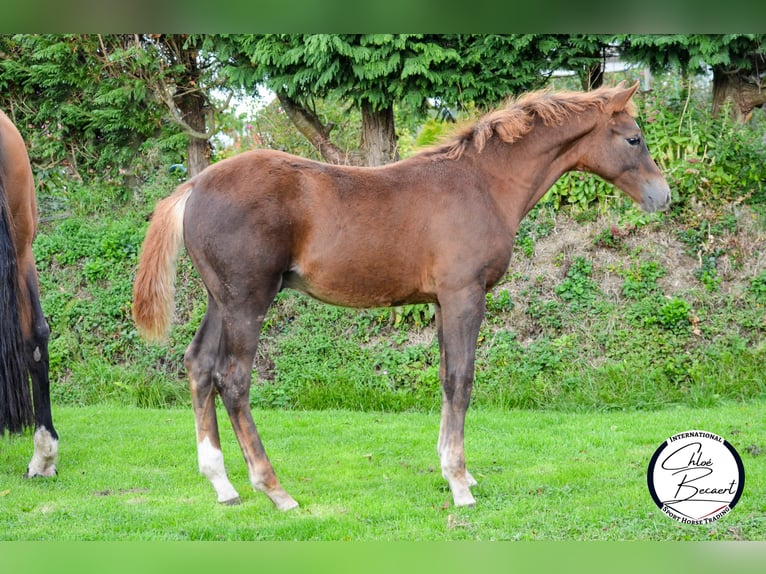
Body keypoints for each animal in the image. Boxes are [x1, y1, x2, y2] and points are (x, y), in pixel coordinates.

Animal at [134, 81, 672, 508]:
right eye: (634, 138)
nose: (663, 196)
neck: (482, 183)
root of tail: (195, 183)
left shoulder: (440, 303)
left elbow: (444, 379)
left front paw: (456, 472)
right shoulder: (464, 296)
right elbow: (461, 380)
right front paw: (459, 484)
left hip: (220, 300)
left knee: (199, 365)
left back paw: (222, 484)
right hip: (248, 301)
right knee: (233, 379)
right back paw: (275, 489)